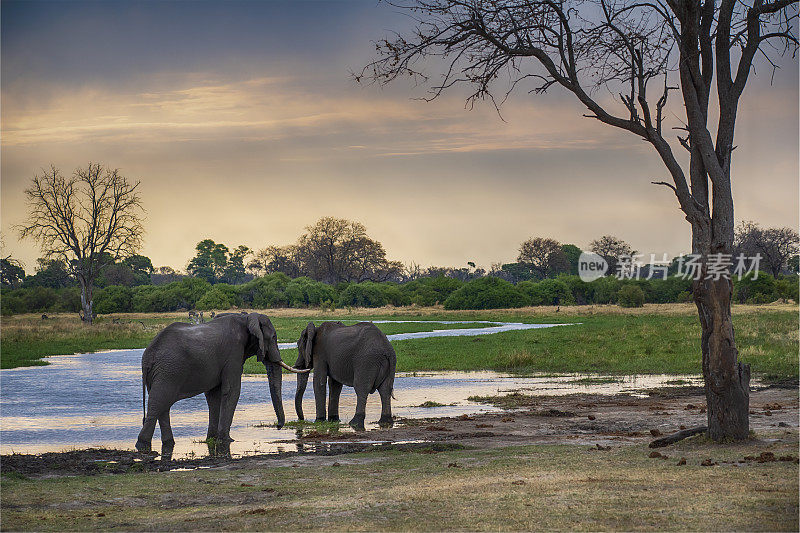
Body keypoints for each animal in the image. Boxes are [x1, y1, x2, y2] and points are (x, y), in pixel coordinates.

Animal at [136, 312, 308, 458]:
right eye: (273, 337)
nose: (279, 426)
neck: (246, 318)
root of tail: (147, 356)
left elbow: (214, 395)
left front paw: (212, 438)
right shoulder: (233, 353)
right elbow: (232, 390)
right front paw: (227, 440)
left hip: (162, 373)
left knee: (162, 406)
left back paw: (168, 443)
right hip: (168, 371)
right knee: (158, 403)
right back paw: (142, 446)